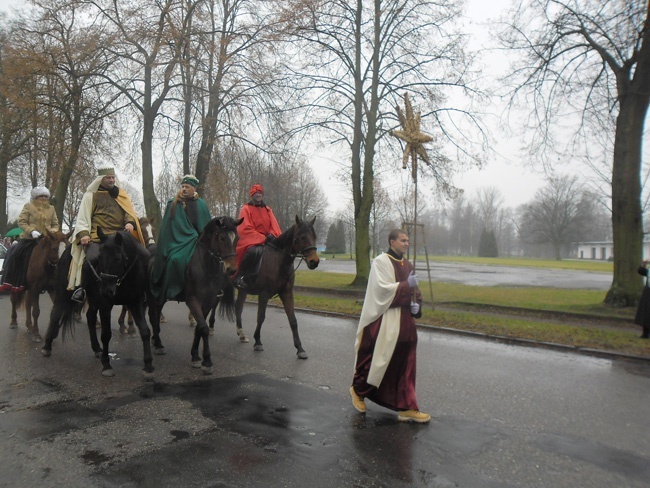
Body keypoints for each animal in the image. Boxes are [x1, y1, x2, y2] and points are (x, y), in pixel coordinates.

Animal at [41, 229, 153, 378]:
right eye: (99, 258)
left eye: (118, 258)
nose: (106, 290)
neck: (123, 279)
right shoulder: (105, 305)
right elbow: (106, 335)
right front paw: (106, 365)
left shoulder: (136, 302)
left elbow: (145, 331)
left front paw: (148, 365)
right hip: (63, 294)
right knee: (55, 314)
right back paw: (47, 346)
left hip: (93, 300)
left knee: (90, 318)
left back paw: (96, 348)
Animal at [147, 216, 243, 374]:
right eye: (222, 238)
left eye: (237, 238)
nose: (232, 269)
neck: (206, 269)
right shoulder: (193, 301)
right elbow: (203, 328)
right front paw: (207, 361)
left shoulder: (208, 303)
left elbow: (199, 328)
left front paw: (196, 356)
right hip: (155, 297)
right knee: (153, 316)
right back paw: (159, 344)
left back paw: (156, 340)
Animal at [233, 215, 318, 360]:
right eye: (302, 237)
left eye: (314, 236)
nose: (314, 261)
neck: (279, 261)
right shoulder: (264, 293)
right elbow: (261, 317)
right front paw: (258, 341)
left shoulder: (287, 293)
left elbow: (293, 320)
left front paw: (300, 349)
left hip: (242, 290)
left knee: (238, 307)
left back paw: (241, 333)